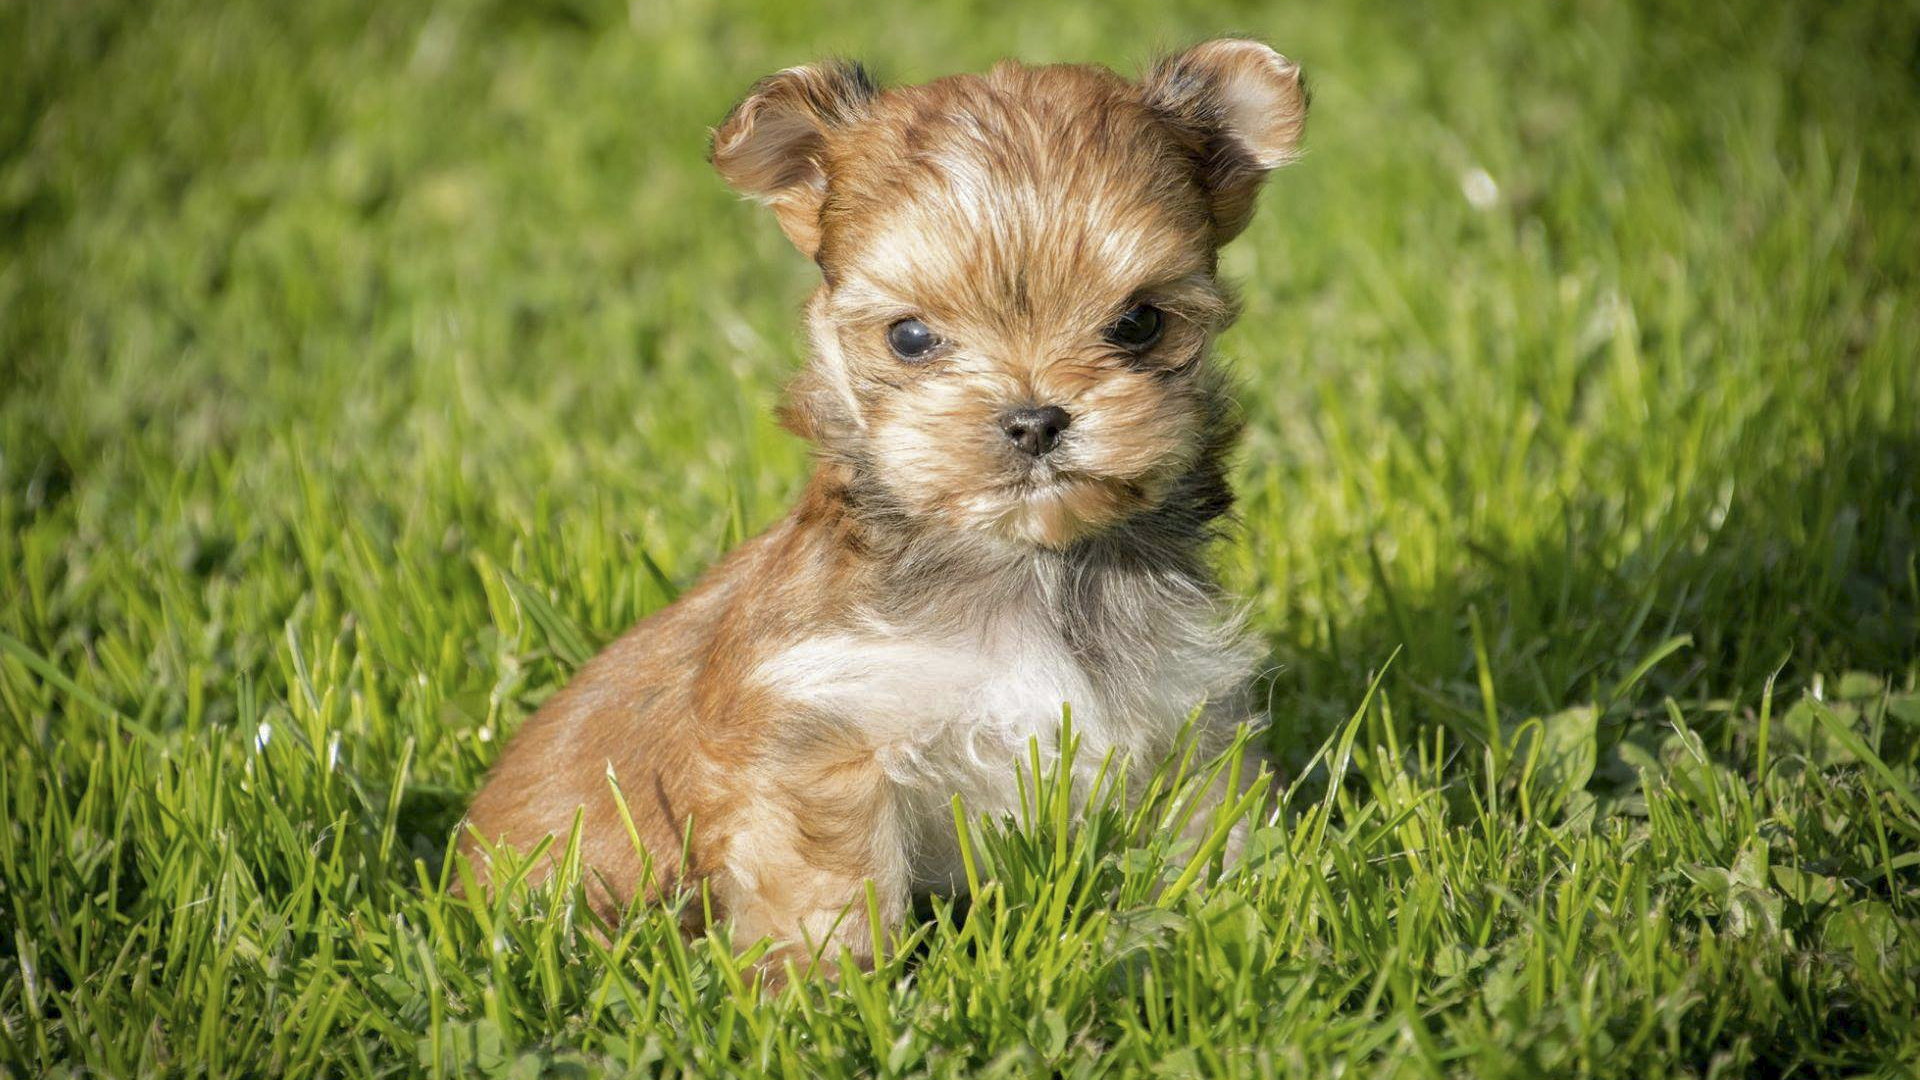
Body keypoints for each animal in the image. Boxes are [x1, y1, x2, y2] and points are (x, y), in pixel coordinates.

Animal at [461, 38, 1307, 975]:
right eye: (910, 338)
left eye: (1139, 323)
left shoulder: (1183, 713)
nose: (1034, 420)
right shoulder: (821, 737)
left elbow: (1208, 829)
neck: (1026, 563)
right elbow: (832, 895)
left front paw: (1233, 919)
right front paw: (830, 989)